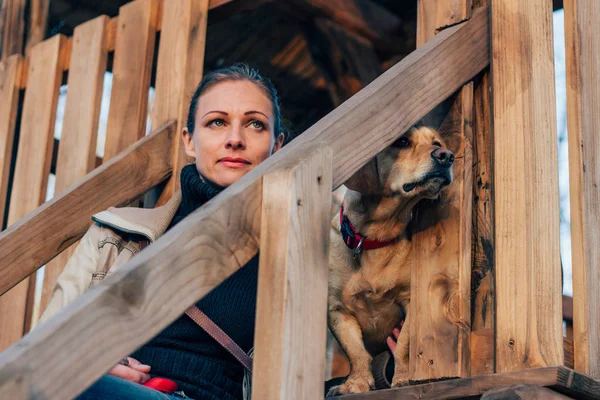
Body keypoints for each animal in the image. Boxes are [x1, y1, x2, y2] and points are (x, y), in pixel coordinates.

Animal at [326, 126, 452, 396]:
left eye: (436, 143)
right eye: (402, 141)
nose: (447, 156)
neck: (376, 237)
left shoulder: (410, 301)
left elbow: (404, 345)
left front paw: (403, 378)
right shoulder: (338, 310)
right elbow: (356, 352)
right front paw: (356, 384)